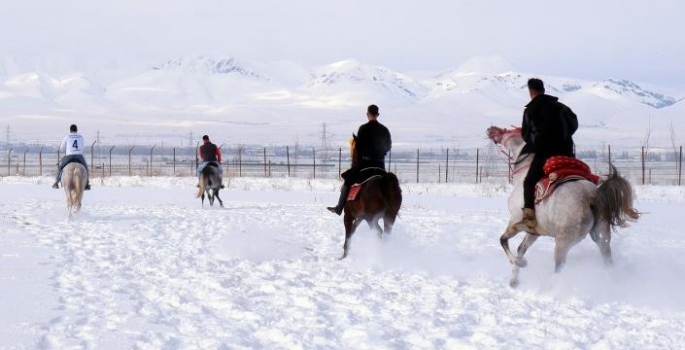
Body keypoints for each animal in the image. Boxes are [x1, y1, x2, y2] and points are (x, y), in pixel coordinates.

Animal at [486, 126, 636, 288]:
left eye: (510, 129)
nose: (491, 129)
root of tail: (593, 196)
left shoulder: (514, 223)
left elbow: (503, 241)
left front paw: (520, 263)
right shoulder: (534, 232)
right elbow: (521, 248)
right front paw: (514, 279)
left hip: (563, 243)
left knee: (559, 267)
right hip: (601, 236)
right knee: (607, 257)